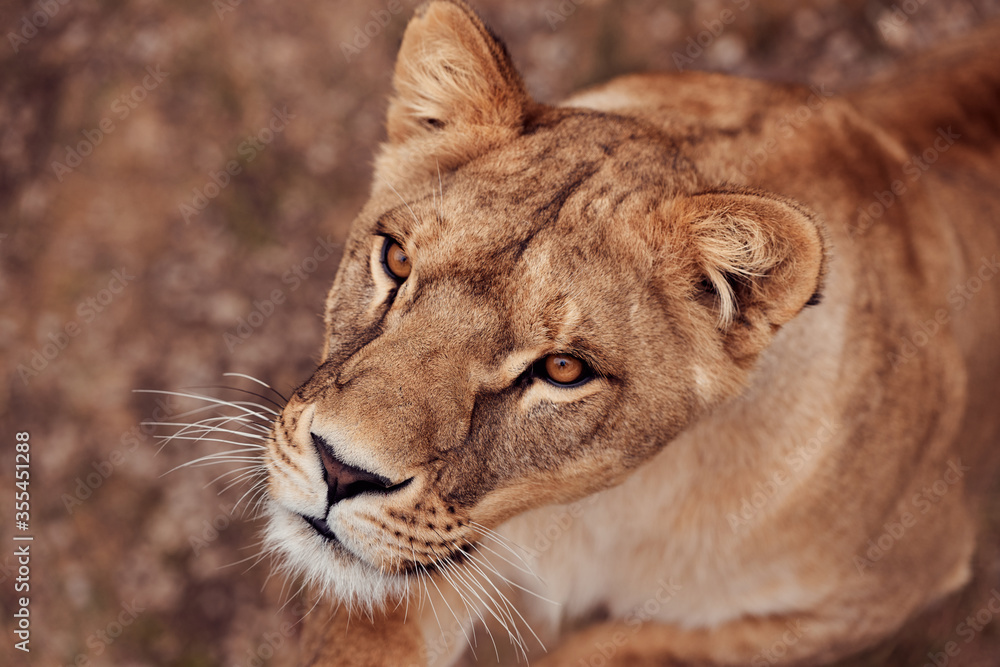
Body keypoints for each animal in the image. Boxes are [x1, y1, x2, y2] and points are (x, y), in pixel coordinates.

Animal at [260, 2, 1000, 665]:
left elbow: (626, 649)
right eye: (396, 260)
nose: (341, 470)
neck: (590, 508)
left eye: (563, 369)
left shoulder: (885, 587)